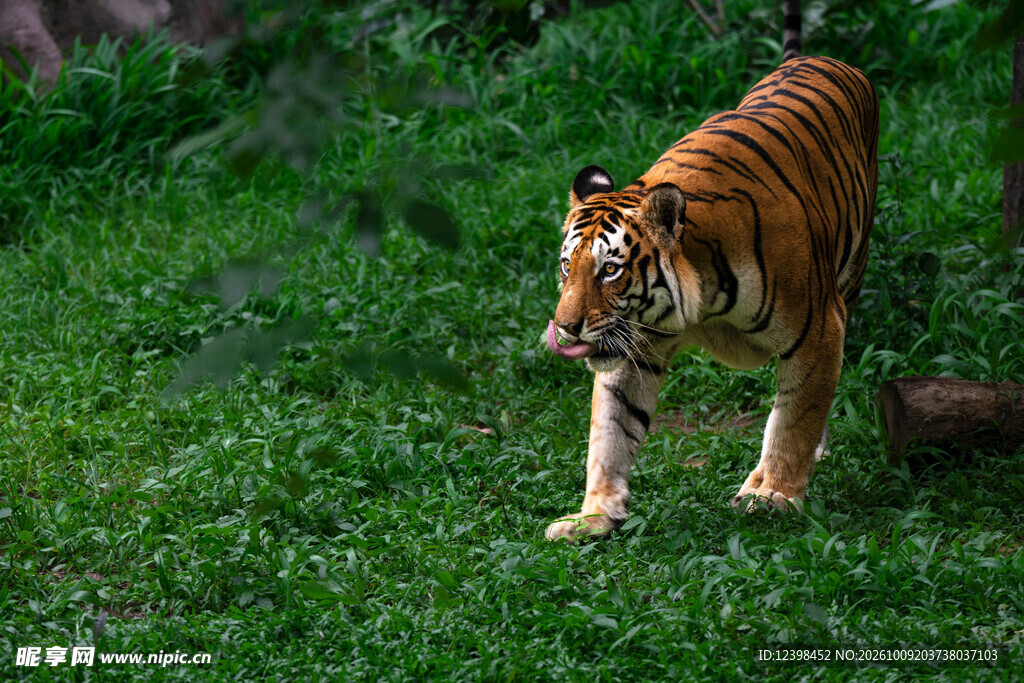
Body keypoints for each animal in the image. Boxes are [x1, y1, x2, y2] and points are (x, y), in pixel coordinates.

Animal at [544, 0, 879, 541]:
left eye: (610, 270)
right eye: (565, 266)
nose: (566, 328)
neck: (699, 303)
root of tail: (816, 59)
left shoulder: (819, 327)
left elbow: (796, 416)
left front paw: (774, 496)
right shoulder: (636, 346)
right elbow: (611, 431)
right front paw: (593, 516)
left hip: (851, 271)